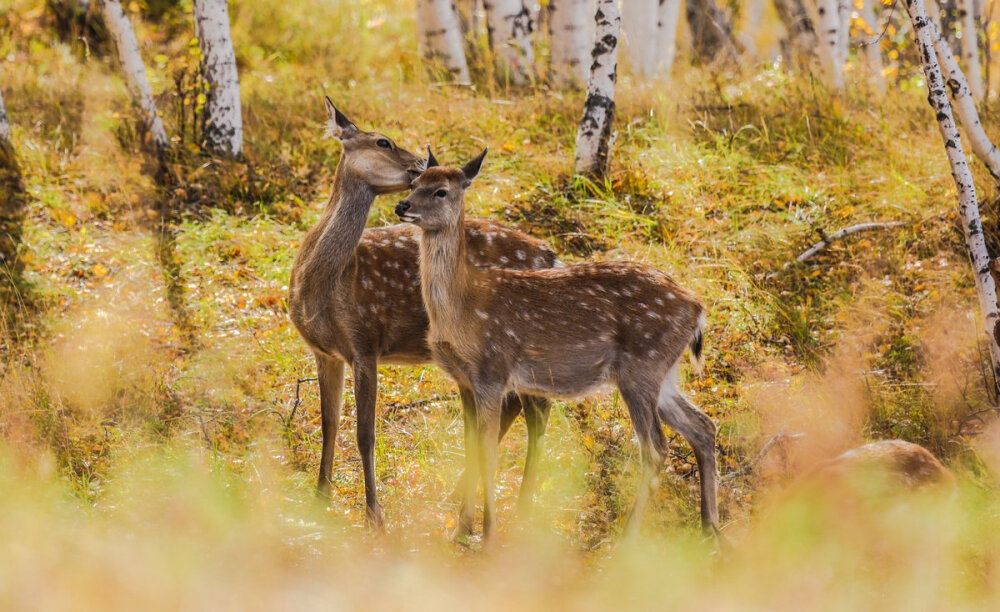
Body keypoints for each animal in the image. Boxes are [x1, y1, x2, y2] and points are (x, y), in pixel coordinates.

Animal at [290, 99, 560, 524]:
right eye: (383, 141)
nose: (419, 165)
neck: (325, 285)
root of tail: (550, 255)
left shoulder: (366, 341)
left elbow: (365, 433)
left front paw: (374, 513)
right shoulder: (323, 351)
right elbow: (329, 423)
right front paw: (319, 500)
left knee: (536, 410)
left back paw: (517, 505)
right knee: (515, 405)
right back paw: (460, 495)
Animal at [398, 149, 720, 540]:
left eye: (441, 191)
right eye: (414, 181)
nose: (401, 205)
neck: (463, 307)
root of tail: (697, 308)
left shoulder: (493, 370)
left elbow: (488, 453)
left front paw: (487, 533)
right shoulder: (464, 378)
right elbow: (471, 449)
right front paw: (461, 528)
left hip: (642, 366)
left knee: (656, 448)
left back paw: (629, 538)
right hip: (663, 372)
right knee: (703, 426)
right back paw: (710, 527)